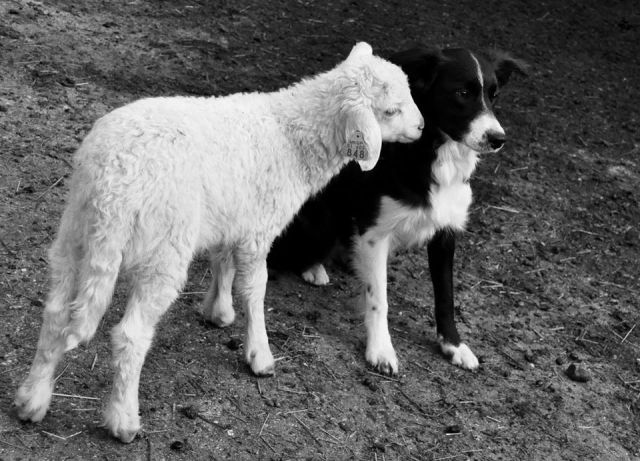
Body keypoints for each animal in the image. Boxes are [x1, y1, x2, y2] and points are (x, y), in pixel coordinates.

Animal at [13, 43, 424, 442]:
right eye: (390, 110)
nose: (421, 126)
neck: (291, 137)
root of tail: (113, 183)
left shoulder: (230, 215)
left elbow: (221, 262)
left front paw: (218, 310)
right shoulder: (258, 228)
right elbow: (254, 290)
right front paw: (259, 354)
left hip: (74, 234)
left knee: (55, 316)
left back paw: (32, 400)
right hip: (162, 251)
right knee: (130, 335)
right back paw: (123, 420)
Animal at [264, 45, 524, 374]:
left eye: (494, 95)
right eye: (462, 92)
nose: (498, 139)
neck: (430, 155)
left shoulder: (445, 233)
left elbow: (446, 296)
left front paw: (453, 344)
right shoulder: (374, 232)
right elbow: (379, 299)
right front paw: (380, 349)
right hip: (318, 226)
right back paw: (313, 267)